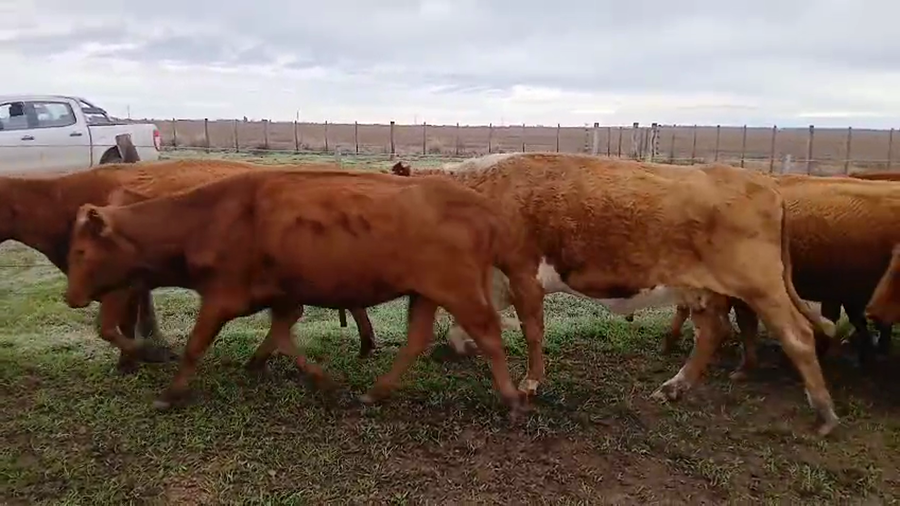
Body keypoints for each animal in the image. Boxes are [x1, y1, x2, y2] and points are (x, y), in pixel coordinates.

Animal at [0, 159, 376, 373]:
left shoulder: (120, 285)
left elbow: (110, 326)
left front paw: (145, 355)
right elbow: (124, 322)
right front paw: (134, 359)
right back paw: (365, 344)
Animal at [61, 168, 546, 415]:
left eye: (81, 250)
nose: (71, 297)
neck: (209, 218)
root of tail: (479, 204)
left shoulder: (222, 297)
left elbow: (197, 346)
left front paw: (170, 393)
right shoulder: (284, 295)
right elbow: (282, 337)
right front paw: (318, 379)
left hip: (457, 288)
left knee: (488, 332)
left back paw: (511, 398)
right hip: (424, 292)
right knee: (416, 340)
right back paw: (375, 392)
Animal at [392, 152, 840, 436]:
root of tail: (764, 184)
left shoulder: (524, 275)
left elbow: (532, 330)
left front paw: (532, 382)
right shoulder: (495, 282)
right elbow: (462, 327)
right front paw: (463, 346)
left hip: (762, 286)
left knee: (798, 336)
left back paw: (824, 413)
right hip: (702, 288)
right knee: (712, 333)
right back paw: (674, 388)